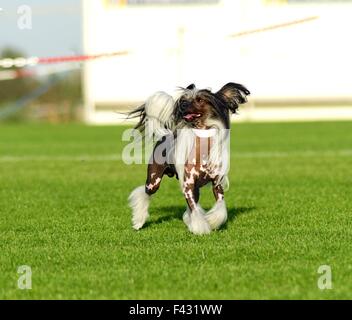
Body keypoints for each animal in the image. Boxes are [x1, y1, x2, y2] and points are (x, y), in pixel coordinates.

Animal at [128, 82, 249, 235]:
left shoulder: (216, 184)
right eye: (184, 99)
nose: (183, 105)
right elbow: (195, 210)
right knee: (144, 194)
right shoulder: (188, 186)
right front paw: (200, 229)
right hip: (153, 181)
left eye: (199, 99)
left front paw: (211, 222)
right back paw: (138, 222)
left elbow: (220, 207)